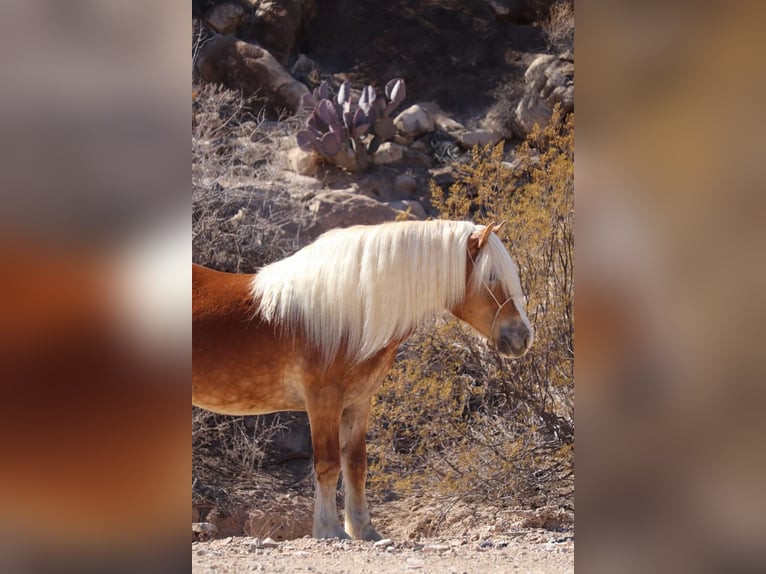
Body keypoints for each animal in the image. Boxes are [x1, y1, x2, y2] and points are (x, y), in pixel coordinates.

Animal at [194, 218, 536, 544]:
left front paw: (363, 530)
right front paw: (330, 530)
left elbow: (356, 465)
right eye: (491, 278)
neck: (344, 314)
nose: (522, 337)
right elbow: (328, 464)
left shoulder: (359, 401)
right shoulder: (323, 401)